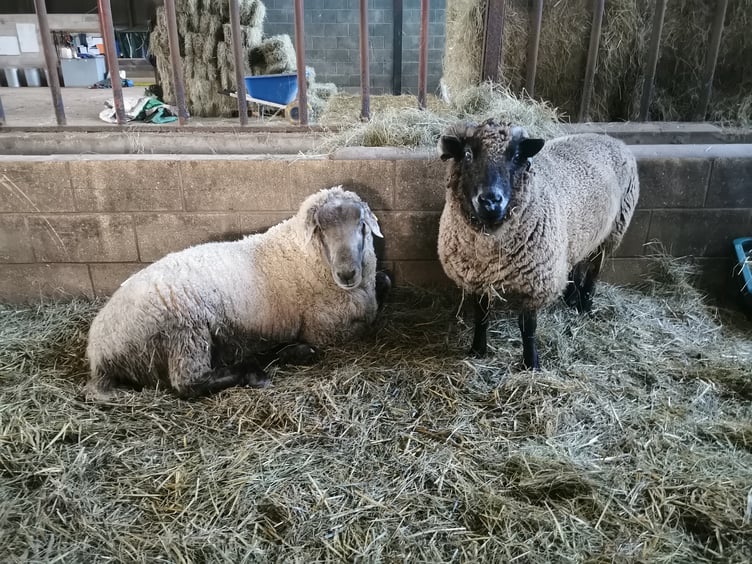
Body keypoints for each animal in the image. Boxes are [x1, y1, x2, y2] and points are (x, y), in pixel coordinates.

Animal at [85, 186, 391, 401]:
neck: (304, 255)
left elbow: (385, 281)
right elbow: (369, 321)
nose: (347, 273)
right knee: (188, 382)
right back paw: (255, 373)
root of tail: (98, 352)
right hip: (184, 331)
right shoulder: (326, 331)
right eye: (320, 229)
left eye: (361, 224)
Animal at [437, 119, 639, 369]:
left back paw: (585, 304)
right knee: (575, 265)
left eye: (516, 156)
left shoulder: (535, 283)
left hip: (613, 230)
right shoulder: (477, 278)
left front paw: (531, 363)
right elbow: (481, 316)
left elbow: (528, 327)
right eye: (467, 154)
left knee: (594, 270)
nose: (490, 201)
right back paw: (571, 297)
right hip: (575, 237)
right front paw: (477, 350)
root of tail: (611, 139)